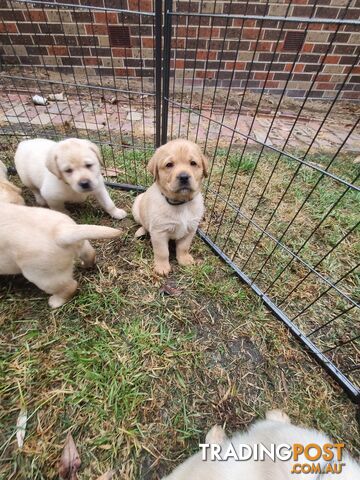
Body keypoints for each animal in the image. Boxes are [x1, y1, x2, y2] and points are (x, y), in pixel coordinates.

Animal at [132, 138, 208, 274]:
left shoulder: (191, 229)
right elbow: (162, 252)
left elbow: (183, 247)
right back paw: (141, 231)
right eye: (169, 165)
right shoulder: (159, 232)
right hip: (137, 205)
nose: (184, 177)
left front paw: (184, 259)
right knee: (143, 224)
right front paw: (162, 267)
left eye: (193, 163)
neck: (181, 203)